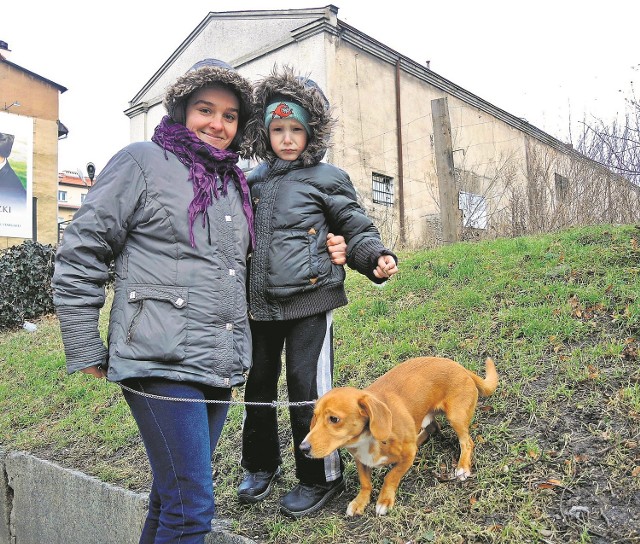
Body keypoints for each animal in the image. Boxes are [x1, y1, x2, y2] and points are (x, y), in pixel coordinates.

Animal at [298, 356, 498, 516]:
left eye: (334, 419)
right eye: (315, 416)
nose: (302, 448)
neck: (368, 439)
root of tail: (462, 368)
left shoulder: (407, 458)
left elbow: (391, 477)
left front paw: (384, 500)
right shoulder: (361, 460)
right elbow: (365, 483)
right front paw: (360, 502)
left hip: (456, 417)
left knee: (467, 442)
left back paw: (462, 466)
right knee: (433, 428)